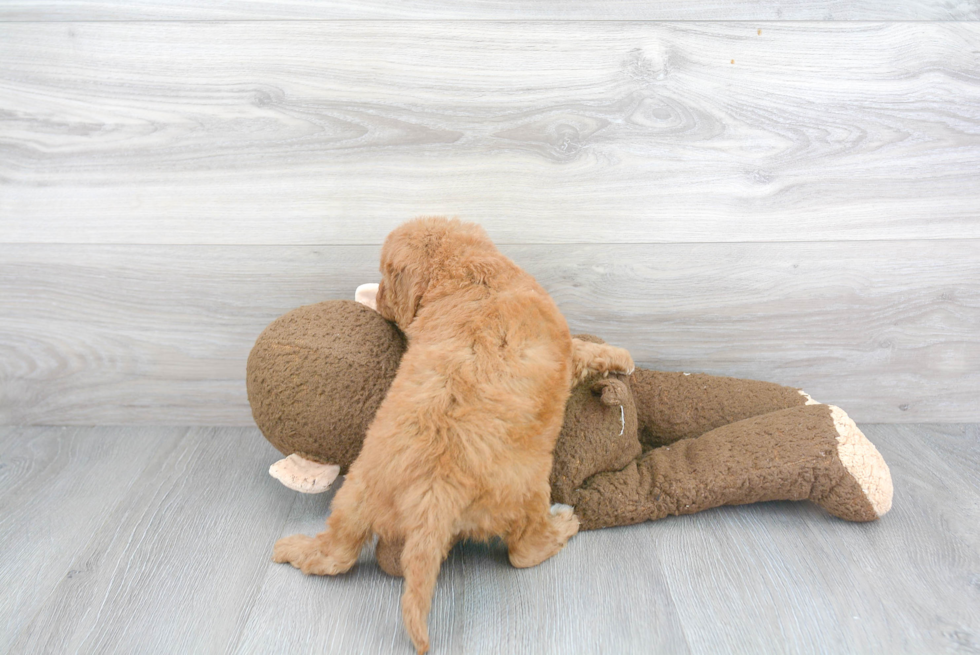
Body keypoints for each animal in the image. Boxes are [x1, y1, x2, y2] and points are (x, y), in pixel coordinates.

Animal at [272, 218, 632, 652]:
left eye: (385, 277)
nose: (378, 297)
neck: (466, 275)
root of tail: (432, 496)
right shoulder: (567, 350)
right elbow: (589, 351)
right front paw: (625, 358)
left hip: (353, 498)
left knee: (336, 555)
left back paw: (289, 548)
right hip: (527, 492)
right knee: (523, 552)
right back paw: (564, 524)